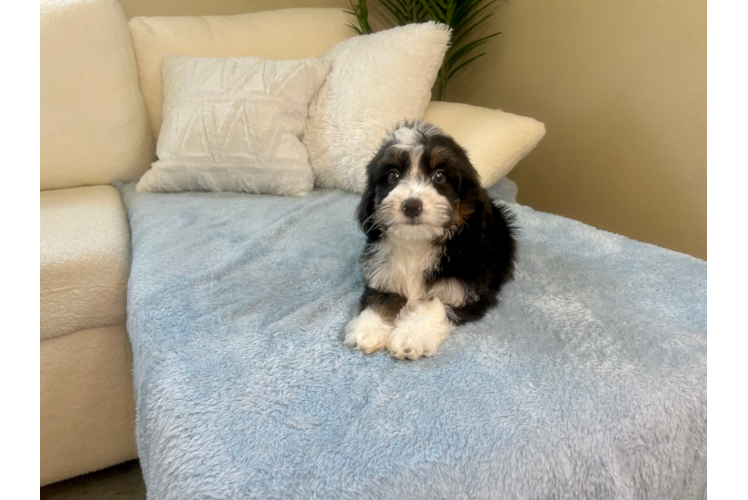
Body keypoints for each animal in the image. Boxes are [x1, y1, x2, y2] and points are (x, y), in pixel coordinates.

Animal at [344, 121, 516, 360]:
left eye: (440, 177)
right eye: (393, 176)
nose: (411, 206)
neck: (418, 242)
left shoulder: (470, 287)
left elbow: (437, 305)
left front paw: (412, 334)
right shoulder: (383, 272)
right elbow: (381, 297)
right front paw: (370, 328)